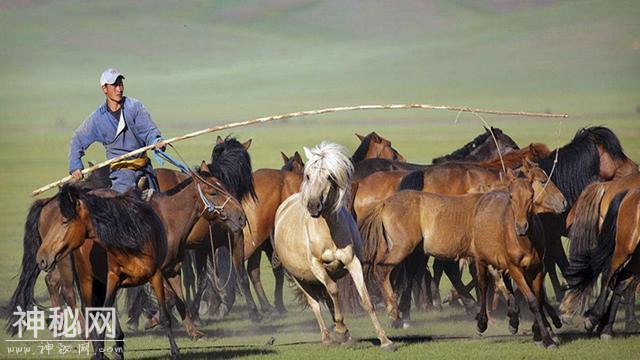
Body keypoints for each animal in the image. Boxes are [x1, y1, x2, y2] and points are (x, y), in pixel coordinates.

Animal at [276, 142, 396, 350]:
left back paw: (345, 334)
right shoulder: (316, 266)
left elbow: (365, 300)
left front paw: (384, 340)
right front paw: (339, 329)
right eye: (308, 176)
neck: (328, 231)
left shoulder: (353, 262)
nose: (313, 206)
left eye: (329, 176)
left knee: (329, 301)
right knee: (315, 303)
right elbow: (333, 291)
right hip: (300, 278)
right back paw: (328, 336)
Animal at [360, 170, 564, 348]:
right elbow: (501, 285)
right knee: (381, 271)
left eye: (531, 194)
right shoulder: (487, 259)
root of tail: (385, 203)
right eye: (543, 180)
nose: (563, 202)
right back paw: (395, 314)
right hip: (402, 249)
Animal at [564, 187, 640, 338]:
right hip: (625, 247)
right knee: (609, 274)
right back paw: (594, 318)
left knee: (622, 280)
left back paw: (605, 327)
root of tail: (629, 193)